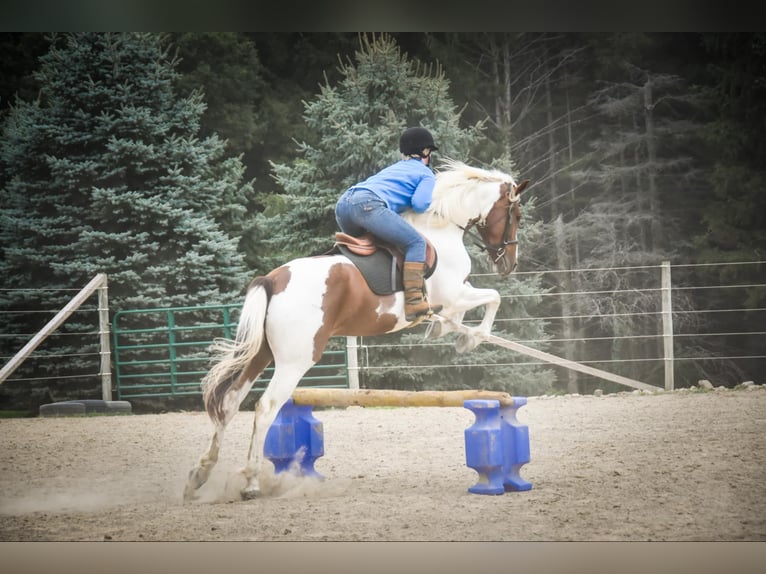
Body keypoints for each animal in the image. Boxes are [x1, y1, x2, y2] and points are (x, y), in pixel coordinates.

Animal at [184, 160, 528, 502]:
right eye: (516, 215)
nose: (510, 264)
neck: (442, 227)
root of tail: (273, 279)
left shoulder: (454, 296)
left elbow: (475, 305)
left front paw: (446, 330)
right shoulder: (454, 294)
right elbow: (492, 298)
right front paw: (469, 338)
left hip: (261, 354)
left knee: (230, 401)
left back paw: (200, 474)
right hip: (295, 360)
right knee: (266, 407)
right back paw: (251, 482)